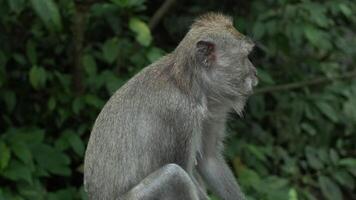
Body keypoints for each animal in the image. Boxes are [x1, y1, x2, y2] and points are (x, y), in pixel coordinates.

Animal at [84, 12, 258, 200]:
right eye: (245, 56)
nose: (255, 73)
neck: (190, 86)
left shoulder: (213, 110)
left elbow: (209, 160)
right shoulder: (180, 114)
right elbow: (185, 171)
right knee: (175, 175)